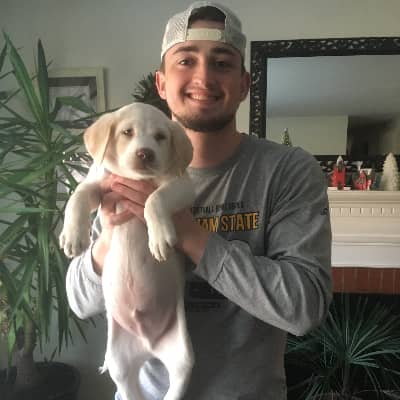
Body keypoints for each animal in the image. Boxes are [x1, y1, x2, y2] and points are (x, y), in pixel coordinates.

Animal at [60, 103, 195, 400]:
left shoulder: (181, 185)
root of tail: (149, 345)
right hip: (119, 365)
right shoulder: (100, 183)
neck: (134, 178)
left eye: (160, 137)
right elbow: (76, 196)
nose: (145, 153)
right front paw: (73, 236)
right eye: (127, 133)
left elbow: (154, 198)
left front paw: (159, 238)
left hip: (183, 360)